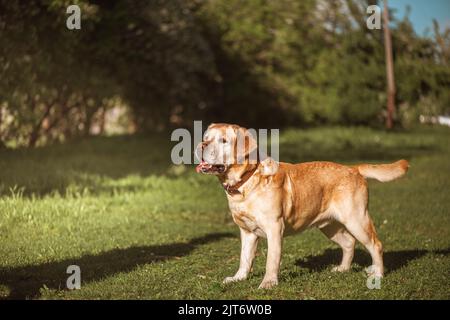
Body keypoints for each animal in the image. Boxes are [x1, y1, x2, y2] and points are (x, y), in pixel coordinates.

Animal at [194, 124, 408, 288]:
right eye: (206, 138)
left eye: (223, 141)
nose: (201, 144)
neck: (247, 181)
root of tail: (353, 168)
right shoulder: (247, 232)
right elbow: (244, 259)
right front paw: (238, 278)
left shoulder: (274, 228)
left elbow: (272, 260)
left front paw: (268, 283)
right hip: (329, 226)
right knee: (349, 243)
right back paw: (342, 269)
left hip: (356, 220)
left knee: (376, 245)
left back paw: (378, 274)